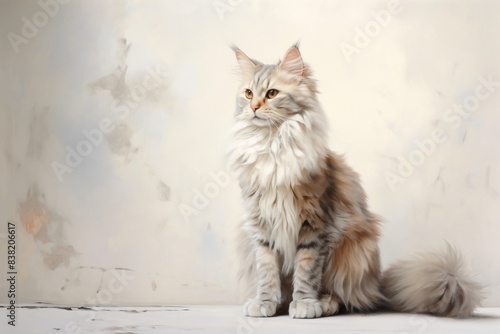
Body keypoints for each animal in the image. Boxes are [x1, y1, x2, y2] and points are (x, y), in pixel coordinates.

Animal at [229, 43, 482, 318]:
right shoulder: (261, 227)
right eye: (248, 93)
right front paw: (265, 303)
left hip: (354, 248)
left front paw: (305, 303)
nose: (253, 107)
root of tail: (376, 286)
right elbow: (267, 272)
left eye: (272, 93)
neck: (272, 144)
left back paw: (324, 304)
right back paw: (284, 304)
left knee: (345, 297)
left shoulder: (314, 225)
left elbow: (306, 271)